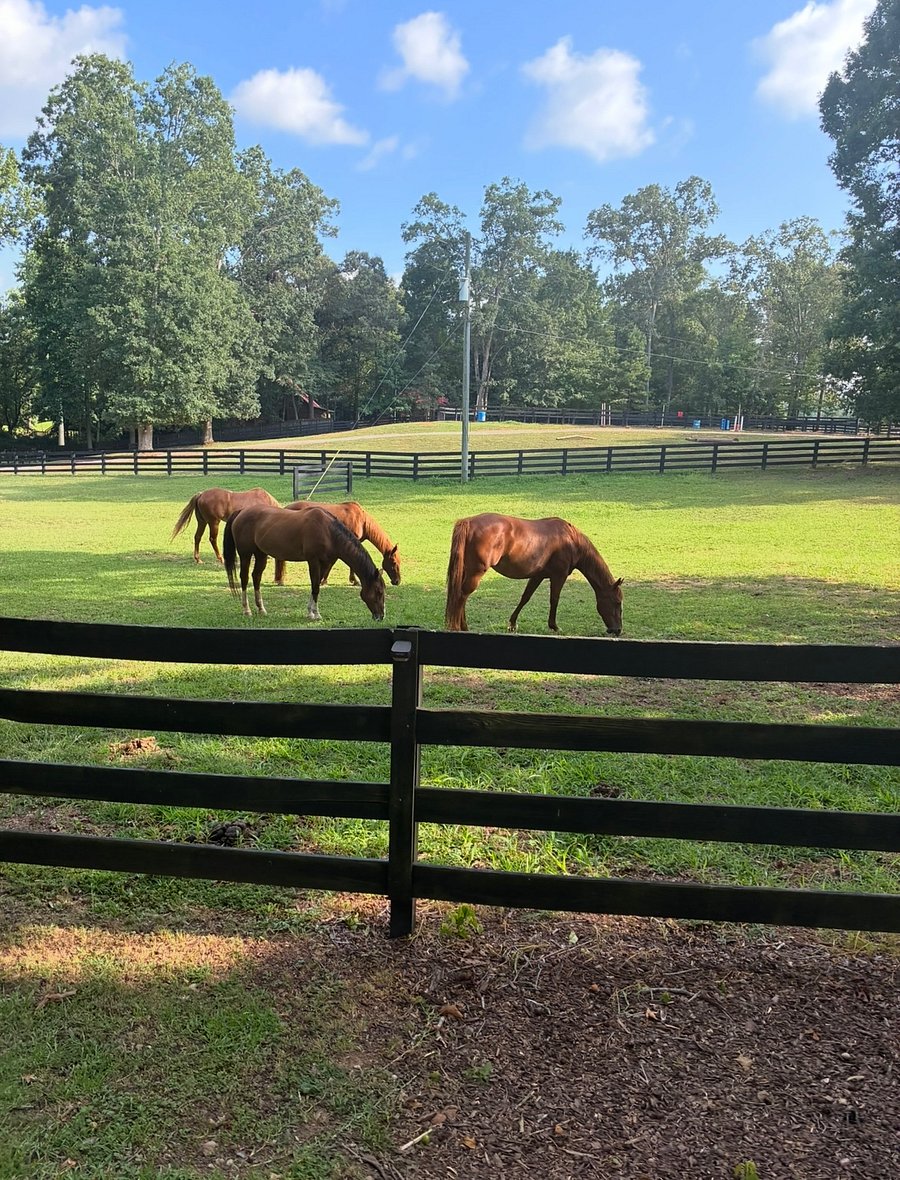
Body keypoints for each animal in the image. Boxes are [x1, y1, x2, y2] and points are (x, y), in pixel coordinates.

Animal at [223, 505, 385, 622]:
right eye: (378, 592)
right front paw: (315, 614)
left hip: (261, 554)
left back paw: (261, 609)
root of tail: (241, 512)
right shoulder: (313, 561)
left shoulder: (325, 563)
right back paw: (247, 610)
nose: (381, 616)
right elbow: (315, 587)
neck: (328, 532)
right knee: (244, 578)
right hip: (245, 555)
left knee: (256, 577)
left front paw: (311, 612)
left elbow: (316, 585)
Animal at [444, 513, 623, 635]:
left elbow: (525, 598)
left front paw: (512, 624)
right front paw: (554, 626)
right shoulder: (559, 576)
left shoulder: (538, 576)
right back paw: (460, 627)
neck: (571, 540)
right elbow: (554, 600)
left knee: (460, 595)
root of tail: (468, 521)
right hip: (476, 572)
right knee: (461, 596)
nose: (617, 630)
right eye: (617, 602)